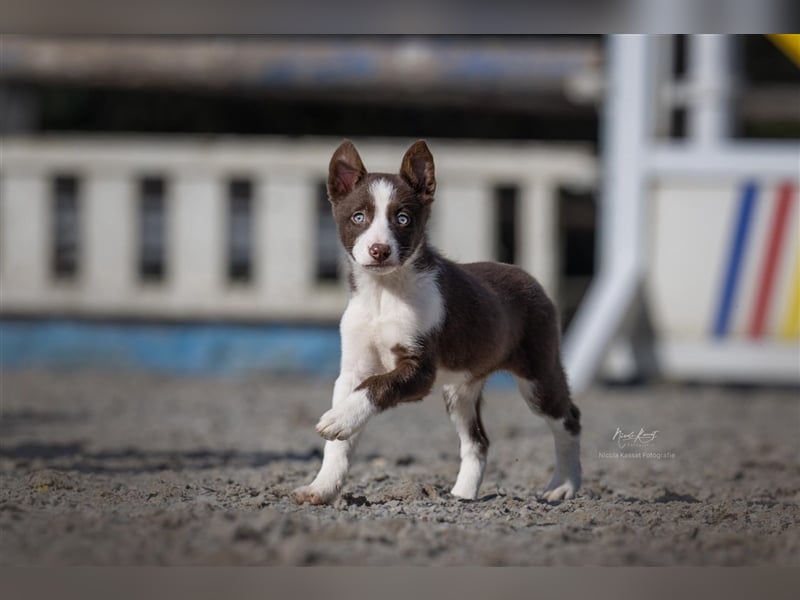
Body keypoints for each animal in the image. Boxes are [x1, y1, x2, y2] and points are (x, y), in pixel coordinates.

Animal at [294, 138, 580, 504]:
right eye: (358, 217)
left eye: (402, 219)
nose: (379, 250)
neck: (384, 292)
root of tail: (529, 277)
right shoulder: (353, 370)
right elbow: (342, 438)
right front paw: (322, 487)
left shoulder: (419, 370)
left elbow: (376, 386)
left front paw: (339, 420)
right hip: (460, 389)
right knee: (477, 441)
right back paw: (462, 496)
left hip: (538, 375)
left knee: (568, 419)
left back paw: (564, 486)